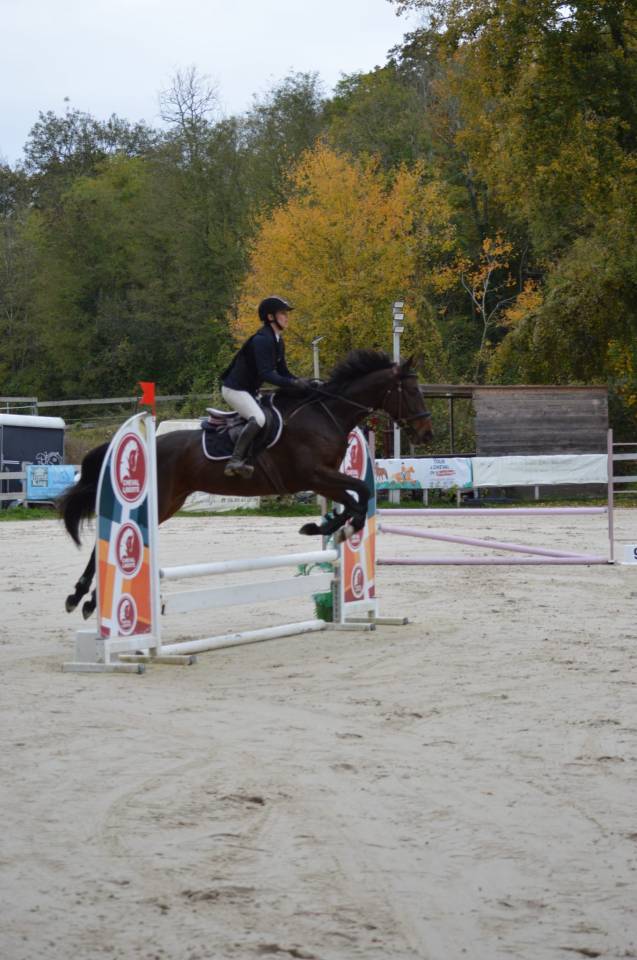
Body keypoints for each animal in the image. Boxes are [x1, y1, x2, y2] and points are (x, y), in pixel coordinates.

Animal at [58, 349, 433, 618]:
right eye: (413, 391)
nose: (425, 433)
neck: (326, 415)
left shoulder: (323, 479)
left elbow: (357, 498)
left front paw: (324, 528)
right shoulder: (314, 475)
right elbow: (361, 495)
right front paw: (333, 529)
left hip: (170, 502)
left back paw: (86, 598)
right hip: (160, 500)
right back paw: (82, 597)